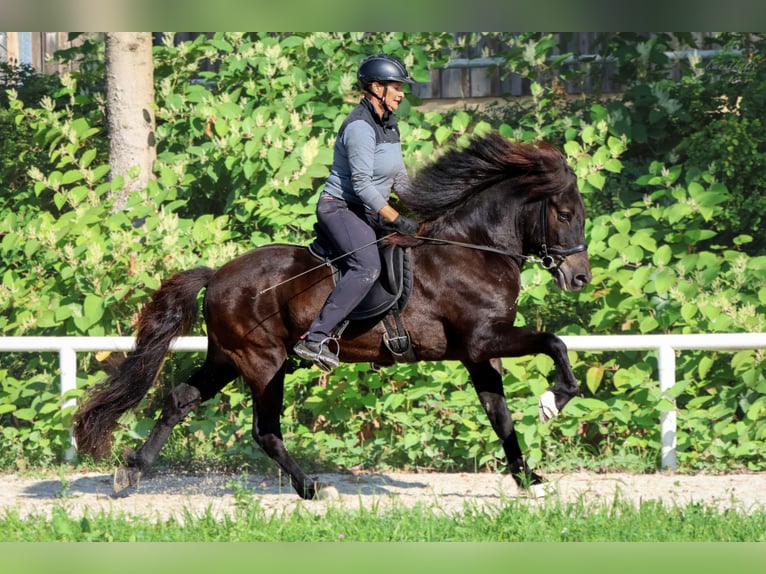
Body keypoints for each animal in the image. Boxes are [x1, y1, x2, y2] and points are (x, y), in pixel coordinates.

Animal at [75, 133, 592, 502]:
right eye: (565, 214)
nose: (580, 278)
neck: (471, 249)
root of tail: (218, 273)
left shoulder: (478, 355)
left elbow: (499, 416)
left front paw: (529, 478)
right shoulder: (486, 338)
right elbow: (555, 342)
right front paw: (553, 401)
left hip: (225, 357)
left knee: (179, 400)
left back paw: (130, 473)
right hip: (264, 362)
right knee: (265, 430)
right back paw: (310, 488)